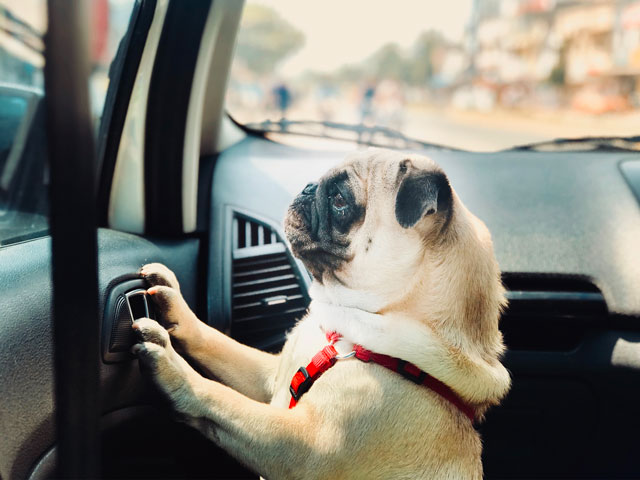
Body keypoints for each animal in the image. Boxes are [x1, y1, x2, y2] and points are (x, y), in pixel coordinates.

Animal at [134, 148, 510, 478]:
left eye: (340, 200)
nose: (307, 186)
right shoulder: (270, 376)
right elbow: (218, 343)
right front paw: (177, 308)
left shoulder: (299, 446)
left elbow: (223, 399)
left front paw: (175, 371)